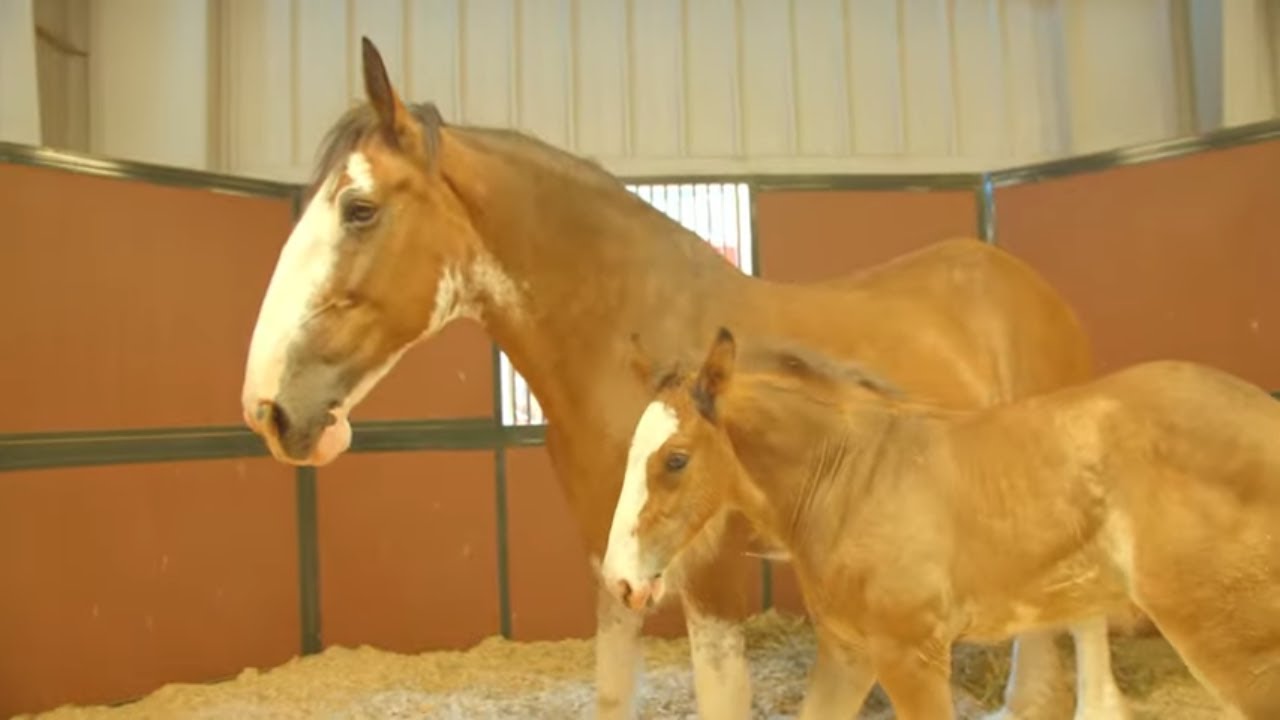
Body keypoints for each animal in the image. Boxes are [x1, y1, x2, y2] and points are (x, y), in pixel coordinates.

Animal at [239, 36, 1120, 719]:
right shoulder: (614, 564)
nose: (268, 409)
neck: (629, 341)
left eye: (358, 209)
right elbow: (610, 693)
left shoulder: (711, 576)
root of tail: (1023, 284)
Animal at [604, 326, 1280, 719]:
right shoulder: (851, 652)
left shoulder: (912, 656)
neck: (854, 478)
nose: (620, 582)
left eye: (676, 459)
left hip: (1229, 638)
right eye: (630, 451)